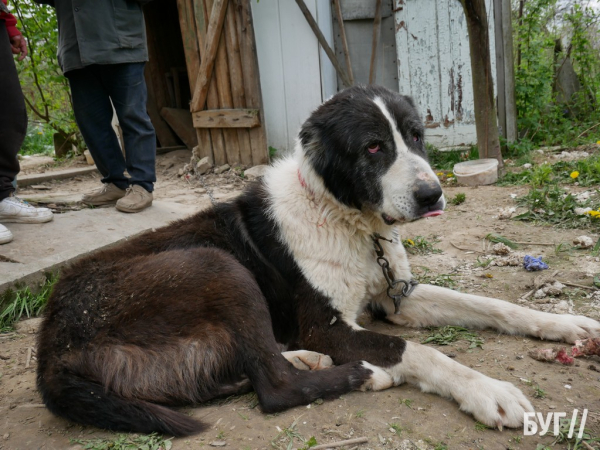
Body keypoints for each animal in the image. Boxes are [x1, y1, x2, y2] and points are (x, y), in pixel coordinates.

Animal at [38, 85, 600, 436]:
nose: (432, 195)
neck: (347, 218)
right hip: (218, 267)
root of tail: (51, 348)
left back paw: (305, 360)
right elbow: (419, 353)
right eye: (373, 147)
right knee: (273, 388)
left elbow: (489, 304)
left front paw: (565, 324)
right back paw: (363, 374)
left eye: (416, 135)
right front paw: (487, 391)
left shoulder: (395, 298)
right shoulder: (329, 327)